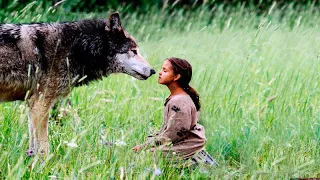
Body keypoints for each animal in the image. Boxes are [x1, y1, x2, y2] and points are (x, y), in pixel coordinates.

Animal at [0, 12, 156, 156]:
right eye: (134, 51)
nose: (153, 71)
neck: (76, 48)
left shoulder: (32, 104)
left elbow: (33, 145)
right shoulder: (40, 105)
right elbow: (44, 148)